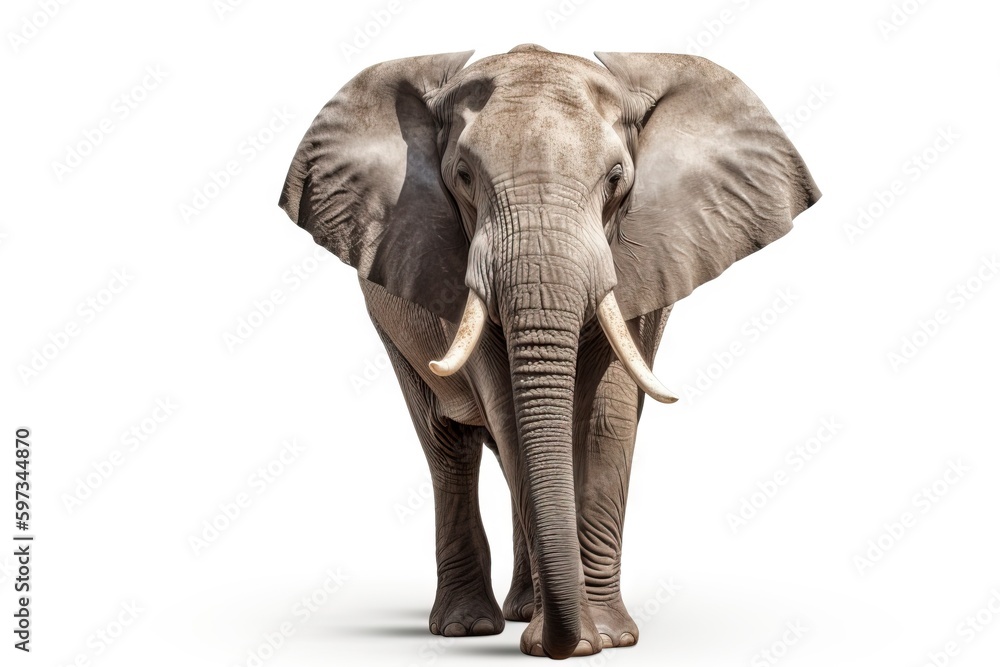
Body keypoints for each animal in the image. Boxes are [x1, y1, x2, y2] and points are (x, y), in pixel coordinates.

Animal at [278, 44, 819, 659]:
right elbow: (511, 411)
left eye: (616, 178)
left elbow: (609, 414)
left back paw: (520, 611)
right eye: (462, 176)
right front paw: (568, 641)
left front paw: (608, 638)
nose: (572, 641)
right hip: (391, 326)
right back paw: (470, 625)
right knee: (448, 447)